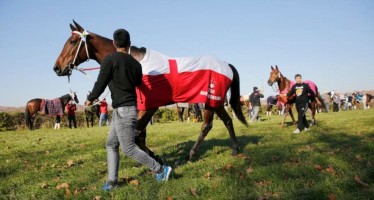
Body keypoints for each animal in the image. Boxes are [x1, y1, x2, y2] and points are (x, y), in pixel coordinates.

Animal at [51, 21, 247, 163]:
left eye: (72, 42)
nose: (57, 68)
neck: (135, 63)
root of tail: (226, 65)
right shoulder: (140, 106)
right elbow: (140, 135)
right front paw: (153, 157)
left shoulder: (150, 106)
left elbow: (137, 135)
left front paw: (156, 158)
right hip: (212, 102)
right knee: (223, 122)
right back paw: (231, 149)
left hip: (211, 100)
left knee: (210, 125)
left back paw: (198, 154)